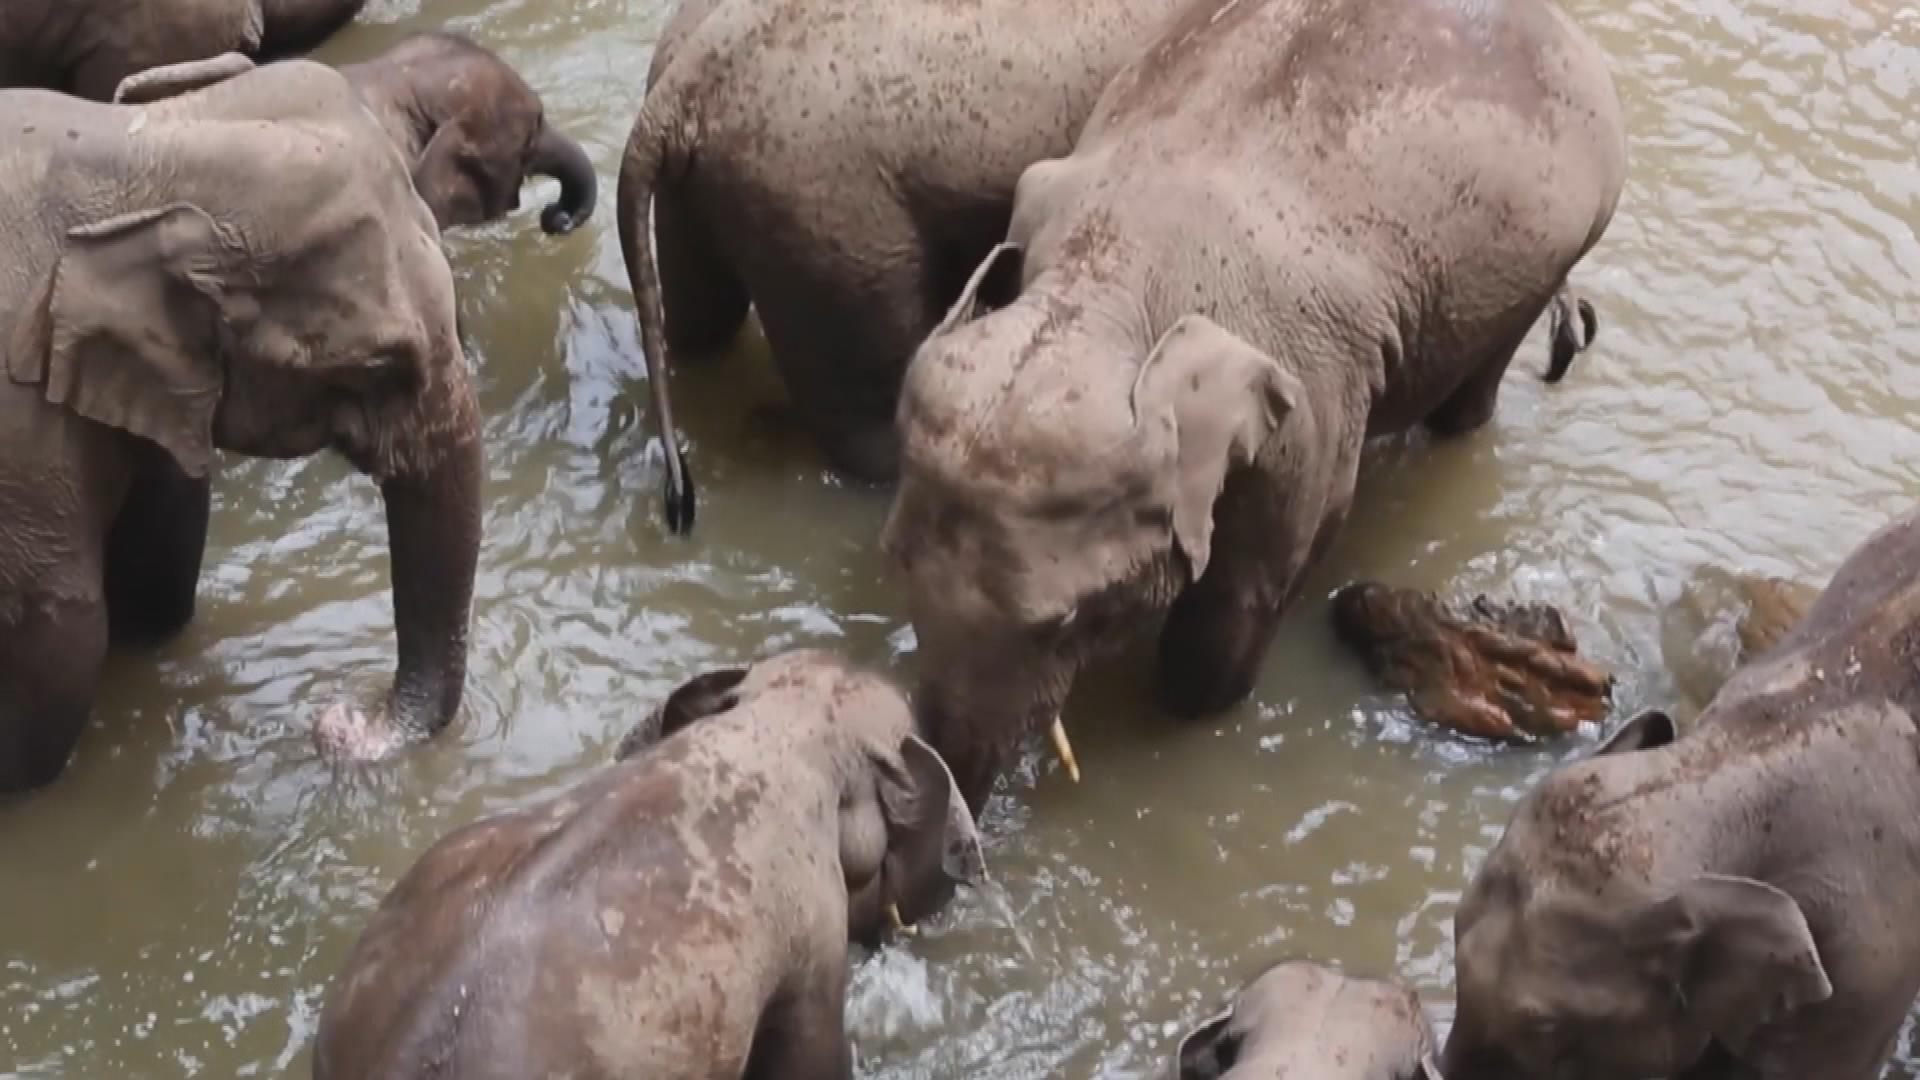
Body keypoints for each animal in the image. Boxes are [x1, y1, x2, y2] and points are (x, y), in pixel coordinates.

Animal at [0, 59, 481, 792]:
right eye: (382, 363)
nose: (339, 719)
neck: (145, 145)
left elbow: (161, 563)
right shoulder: (18, 424)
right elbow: (56, 632)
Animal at [881, 0, 1628, 810]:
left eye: (1064, 621)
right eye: (897, 560)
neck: (1110, 277)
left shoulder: (1311, 394)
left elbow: (1260, 578)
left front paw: (1190, 706)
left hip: (1565, 240)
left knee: (1472, 395)